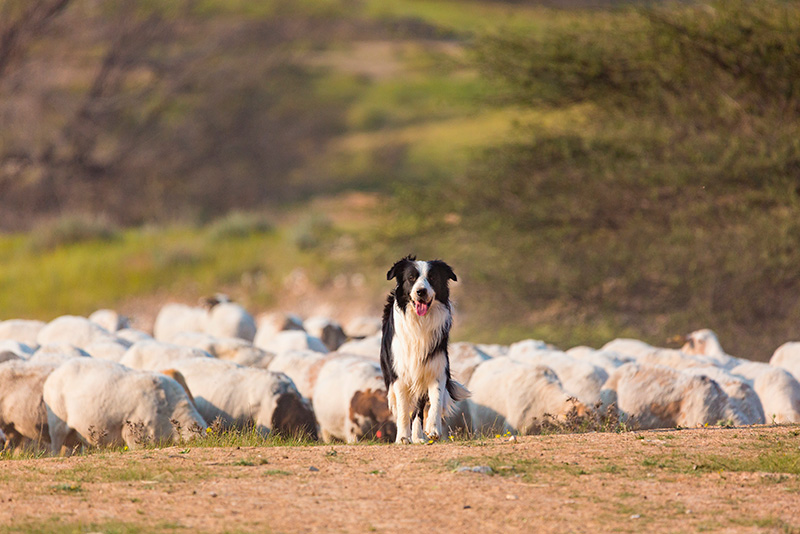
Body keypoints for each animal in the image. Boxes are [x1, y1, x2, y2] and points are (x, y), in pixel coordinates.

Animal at [380, 255, 468, 444]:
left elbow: (435, 401)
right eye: (411, 278)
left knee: (419, 410)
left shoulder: (435, 369)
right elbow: (403, 410)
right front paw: (402, 437)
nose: (421, 291)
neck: (420, 322)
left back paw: (418, 436)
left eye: (432, 278)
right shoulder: (399, 374)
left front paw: (433, 430)